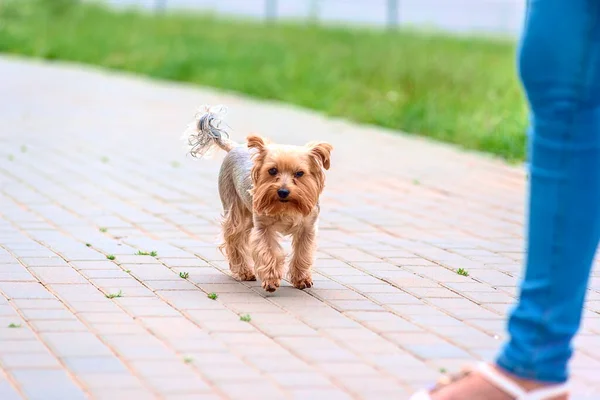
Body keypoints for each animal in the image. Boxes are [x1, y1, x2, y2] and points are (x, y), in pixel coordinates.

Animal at [184, 107, 332, 294]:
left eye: (300, 173)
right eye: (272, 170)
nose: (283, 191)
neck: (285, 207)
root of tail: (234, 147)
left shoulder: (308, 227)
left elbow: (303, 253)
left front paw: (302, 279)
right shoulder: (263, 227)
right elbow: (268, 251)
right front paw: (271, 280)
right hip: (235, 207)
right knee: (235, 237)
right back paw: (244, 271)